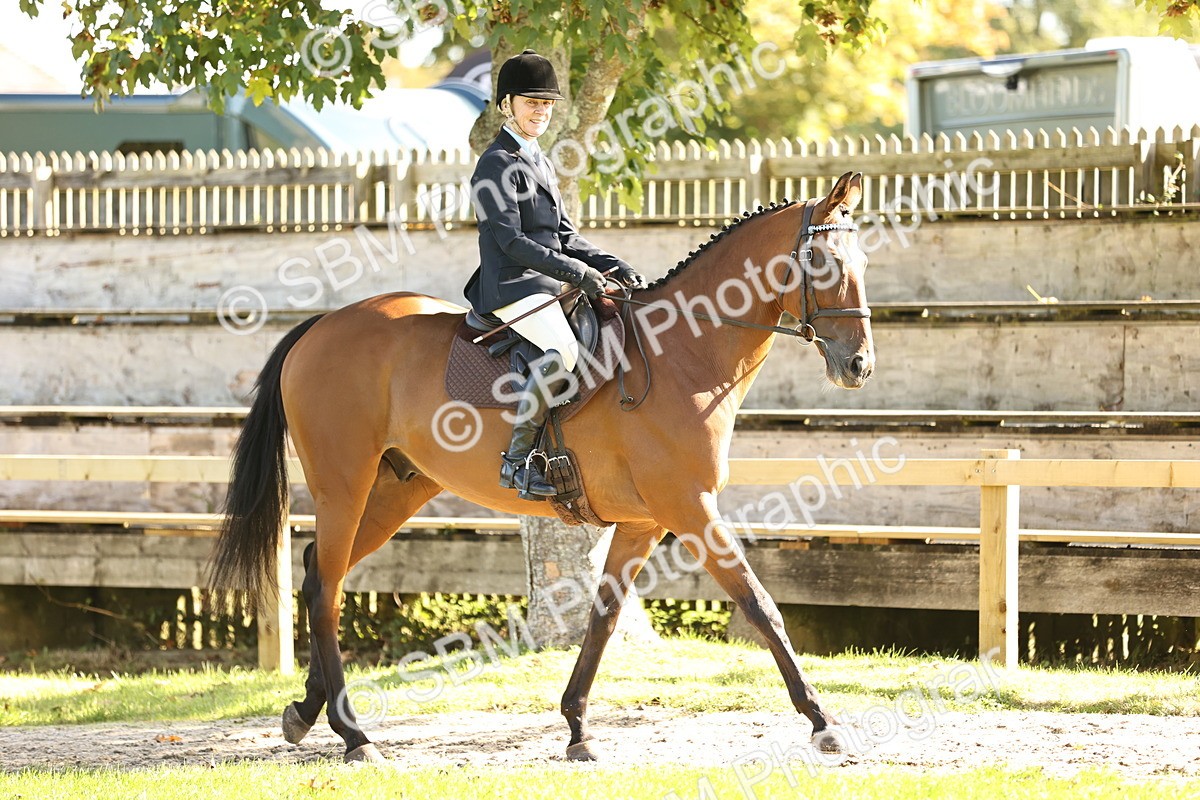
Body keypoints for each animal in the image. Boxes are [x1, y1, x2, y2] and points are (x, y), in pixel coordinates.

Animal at [208, 171, 874, 763]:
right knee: (326, 588)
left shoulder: (644, 521)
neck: (683, 352)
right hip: (342, 485)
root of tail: (322, 324)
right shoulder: (689, 507)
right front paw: (823, 722)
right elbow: (761, 606)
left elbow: (603, 618)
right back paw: (354, 737)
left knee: (322, 570)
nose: (859, 366)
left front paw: (578, 727)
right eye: (824, 264)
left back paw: (306, 711)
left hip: (395, 490)